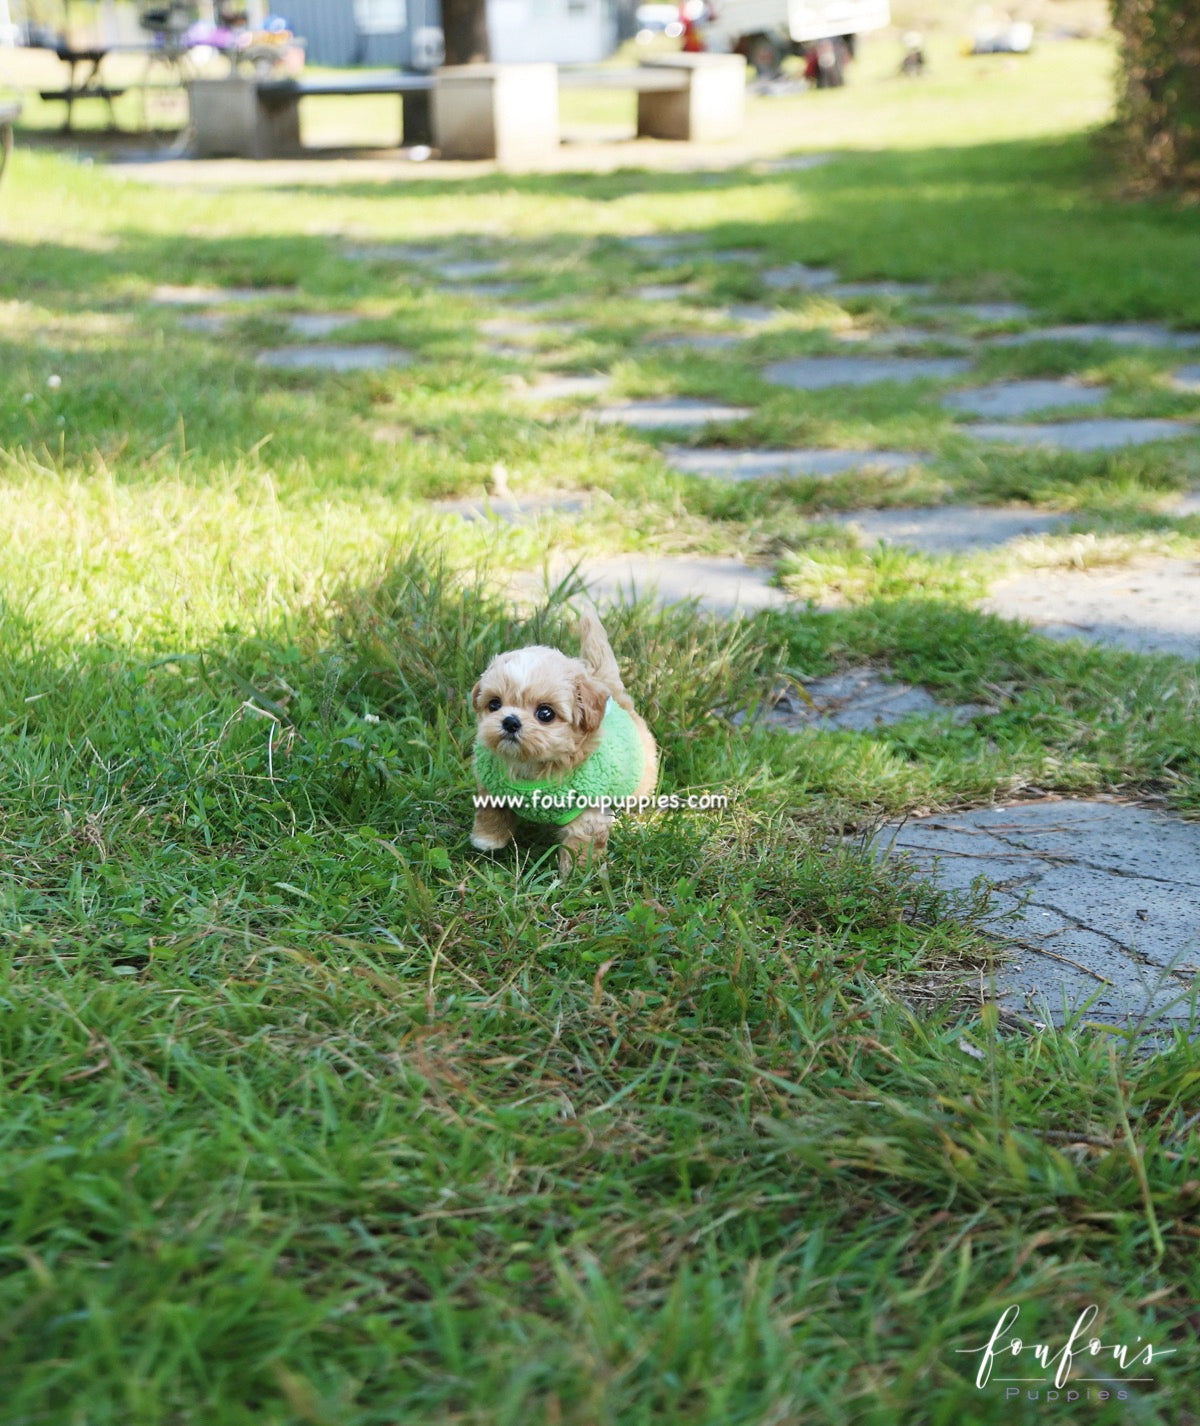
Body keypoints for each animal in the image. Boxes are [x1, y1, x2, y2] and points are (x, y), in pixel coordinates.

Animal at [467, 601, 655, 867]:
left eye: (545, 713)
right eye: (494, 704)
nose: (510, 722)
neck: (531, 765)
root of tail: (616, 697)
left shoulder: (587, 813)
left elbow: (581, 844)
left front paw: (578, 874)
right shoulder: (492, 789)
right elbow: (491, 812)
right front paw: (487, 840)